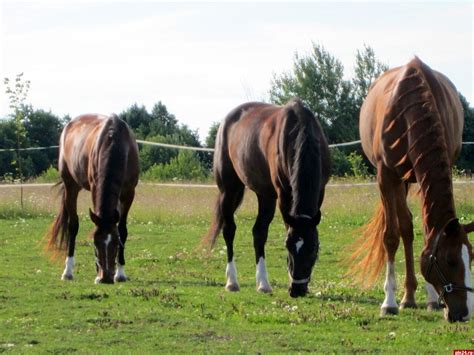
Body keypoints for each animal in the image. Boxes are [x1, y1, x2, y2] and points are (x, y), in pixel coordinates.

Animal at [46, 115, 139, 286]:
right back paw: (68, 271)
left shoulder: (129, 192)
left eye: (116, 243)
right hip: (71, 186)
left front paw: (121, 273)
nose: (106, 278)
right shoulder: (95, 186)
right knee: (73, 226)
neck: (114, 142)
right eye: (95, 243)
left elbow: (122, 229)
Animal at [204, 97, 330, 298]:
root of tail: (227, 121)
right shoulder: (284, 194)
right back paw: (232, 281)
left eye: (313, 249)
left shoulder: (320, 192)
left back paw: (262, 283)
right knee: (229, 230)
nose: (297, 290)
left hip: (265, 195)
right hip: (229, 190)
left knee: (259, 233)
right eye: (288, 246)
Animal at [354, 57, 472, 322]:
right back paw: (404, 297)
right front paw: (388, 302)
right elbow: (391, 236)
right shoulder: (387, 177)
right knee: (404, 228)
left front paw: (431, 299)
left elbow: (427, 232)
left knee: (408, 226)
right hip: (400, 180)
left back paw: (411, 296)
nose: (463, 314)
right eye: (449, 261)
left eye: (471, 257)